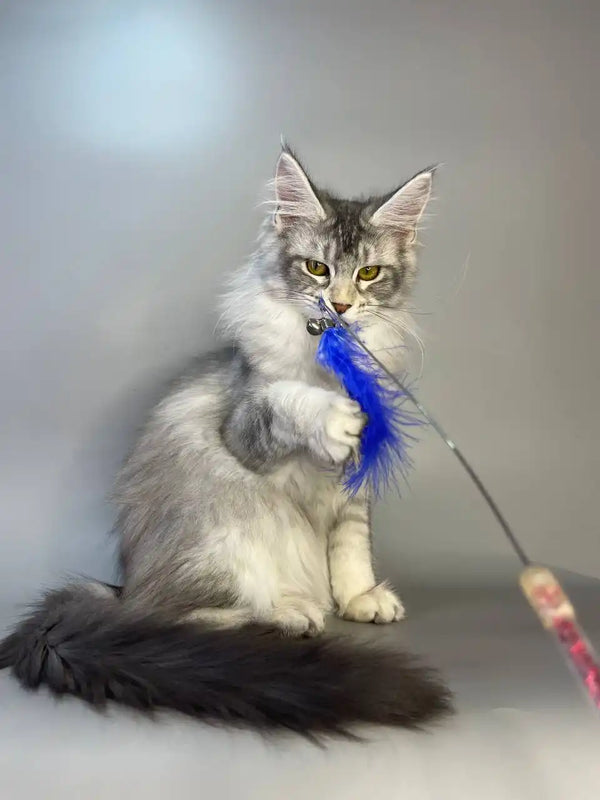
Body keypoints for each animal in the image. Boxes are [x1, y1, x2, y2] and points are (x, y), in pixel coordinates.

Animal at [0, 147, 450, 736]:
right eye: (317, 268)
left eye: (368, 273)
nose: (341, 306)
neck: (328, 370)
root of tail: (125, 587)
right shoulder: (242, 426)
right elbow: (286, 402)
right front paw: (330, 416)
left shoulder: (355, 488)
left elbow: (352, 547)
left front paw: (358, 597)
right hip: (224, 534)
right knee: (180, 618)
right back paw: (286, 614)